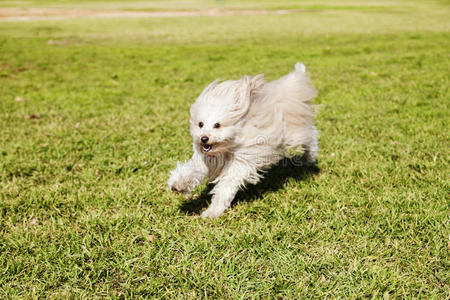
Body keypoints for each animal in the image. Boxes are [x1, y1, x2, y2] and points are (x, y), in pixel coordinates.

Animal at [167, 62, 318, 218]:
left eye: (217, 125)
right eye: (200, 124)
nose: (204, 138)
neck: (227, 147)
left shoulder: (242, 161)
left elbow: (225, 187)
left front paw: (213, 211)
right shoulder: (208, 160)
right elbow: (193, 170)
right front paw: (178, 184)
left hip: (294, 132)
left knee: (311, 135)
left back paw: (310, 157)